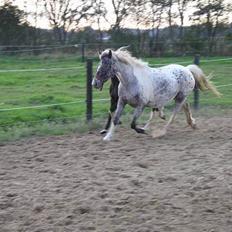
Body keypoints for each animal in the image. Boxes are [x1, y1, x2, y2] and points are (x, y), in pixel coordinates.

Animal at [91, 48, 220, 140]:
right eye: (99, 64)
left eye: (106, 64)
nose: (95, 83)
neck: (131, 81)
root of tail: (187, 70)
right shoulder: (121, 102)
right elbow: (115, 119)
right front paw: (107, 137)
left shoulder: (141, 105)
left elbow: (133, 124)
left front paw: (143, 131)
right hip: (179, 97)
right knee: (186, 107)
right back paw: (192, 124)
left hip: (179, 98)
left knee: (173, 116)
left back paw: (161, 132)